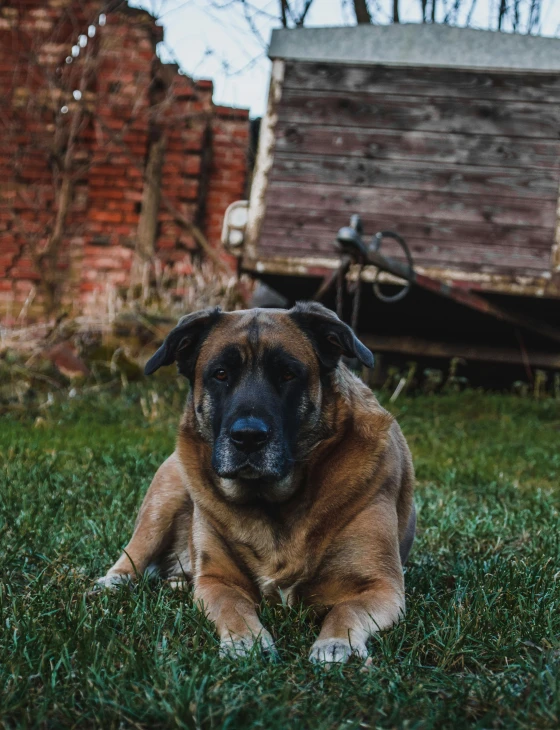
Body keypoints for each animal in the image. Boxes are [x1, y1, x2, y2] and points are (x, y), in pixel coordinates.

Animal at [97, 298, 416, 664]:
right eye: (221, 374)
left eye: (288, 374)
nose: (248, 437)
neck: (271, 502)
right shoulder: (217, 580)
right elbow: (233, 605)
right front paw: (245, 639)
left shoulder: (381, 586)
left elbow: (345, 609)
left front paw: (337, 642)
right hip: (165, 497)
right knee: (134, 554)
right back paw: (112, 583)